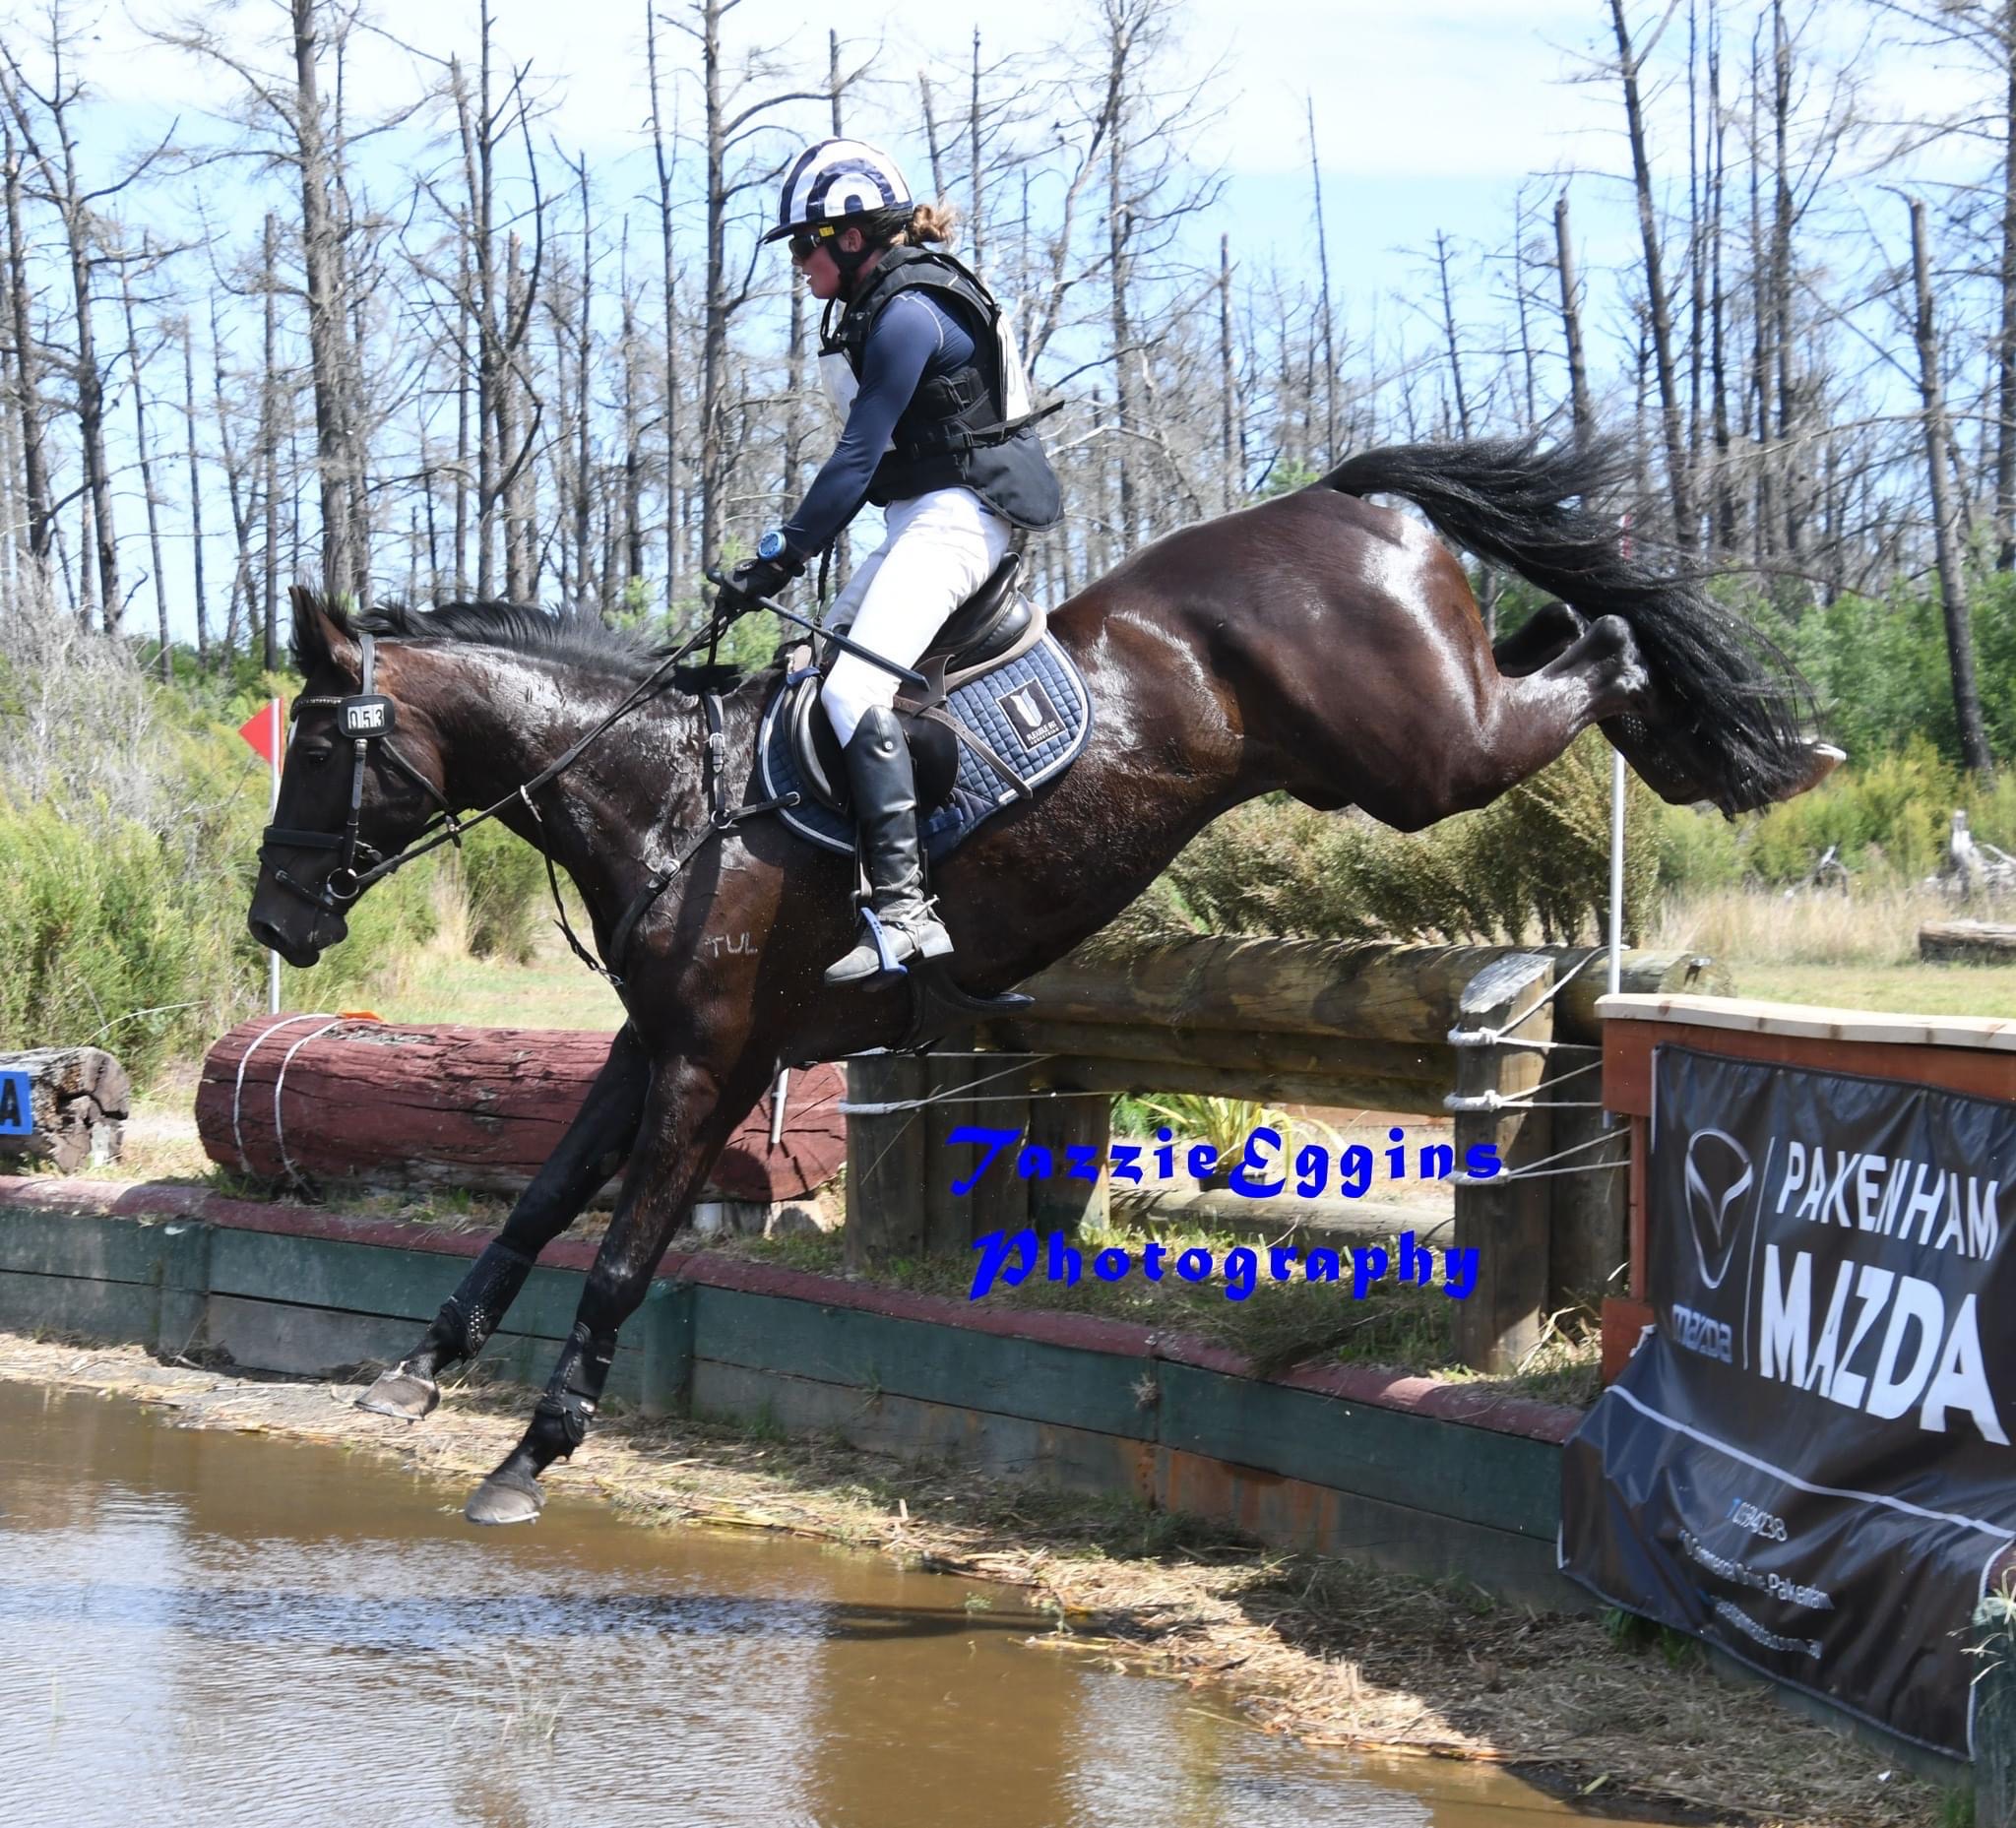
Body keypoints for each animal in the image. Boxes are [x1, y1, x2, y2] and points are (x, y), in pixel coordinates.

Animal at [247, 434, 1836, 1525]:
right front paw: (419, 1369)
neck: (663, 794)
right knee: (1558, 640)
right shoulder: (653, 1048)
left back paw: (1733, 747)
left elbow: (627, 1254)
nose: (277, 920)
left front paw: (533, 1451)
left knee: (1601, 644)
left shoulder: (719, 1063)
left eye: (320, 744)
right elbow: (534, 1203)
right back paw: (1713, 746)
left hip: (1423, 756)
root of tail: (1350, 500)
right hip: (1400, 742)